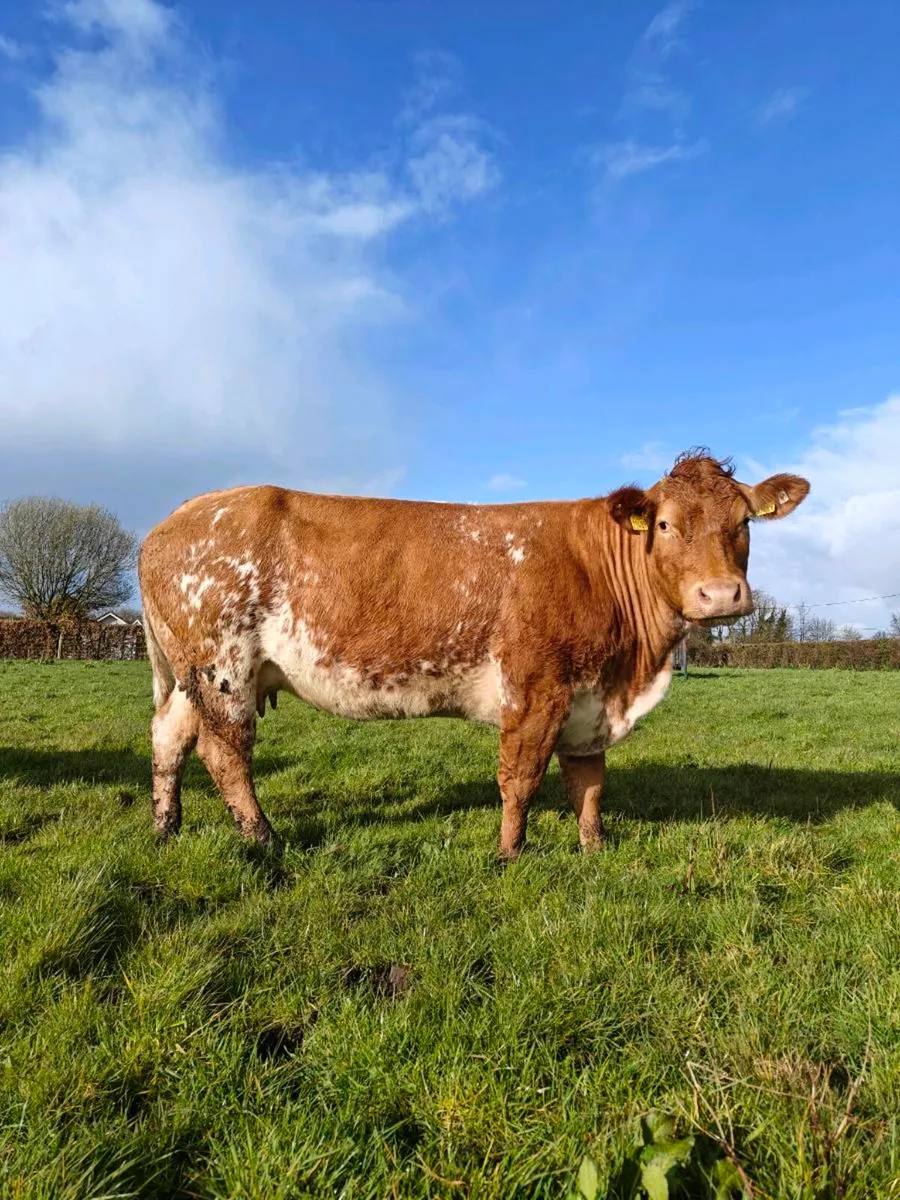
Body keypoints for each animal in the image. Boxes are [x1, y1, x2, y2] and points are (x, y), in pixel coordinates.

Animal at [138, 451, 809, 860]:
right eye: (665, 524)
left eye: (745, 521)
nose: (720, 594)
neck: (632, 669)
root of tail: (175, 519)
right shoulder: (537, 690)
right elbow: (521, 778)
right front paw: (509, 854)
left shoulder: (589, 700)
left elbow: (589, 782)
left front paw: (594, 847)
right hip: (224, 668)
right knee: (226, 754)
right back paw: (264, 839)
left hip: (189, 676)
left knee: (169, 738)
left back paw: (166, 829)